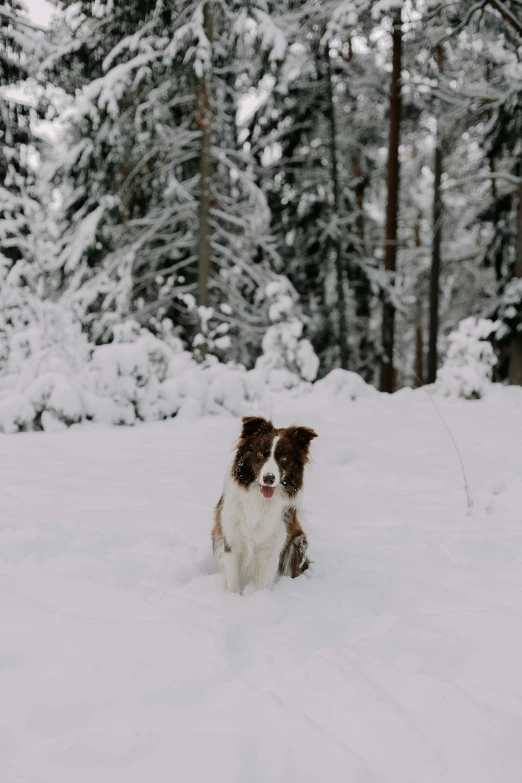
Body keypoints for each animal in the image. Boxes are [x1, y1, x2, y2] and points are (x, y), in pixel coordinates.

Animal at [211, 416, 316, 596]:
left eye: (284, 458)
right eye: (260, 453)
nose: (268, 478)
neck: (260, 500)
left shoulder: (271, 547)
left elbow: (264, 584)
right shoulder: (232, 540)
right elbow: (233, 581)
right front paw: (232, 598)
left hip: (298, 543)